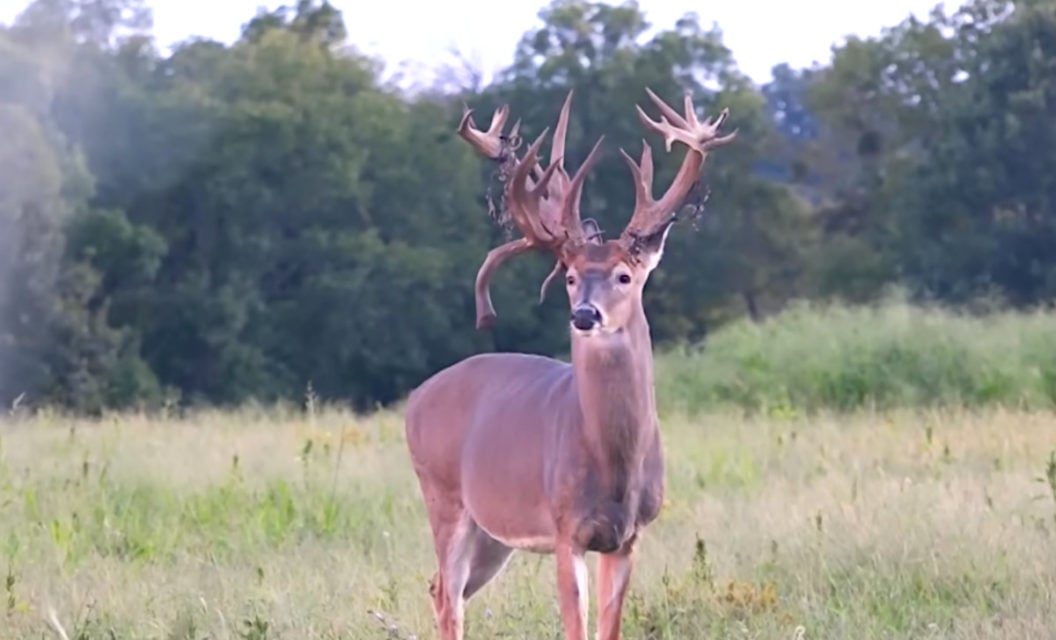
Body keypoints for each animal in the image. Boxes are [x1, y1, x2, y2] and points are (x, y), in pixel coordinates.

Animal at [403, 89, 734, 640]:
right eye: (571, 277)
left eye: (624, 275)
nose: (584, 315)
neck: (612, 462)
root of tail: (415, 398)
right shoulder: (565, 530)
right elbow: (575, 628)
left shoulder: (626, 538)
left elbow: (609, 628)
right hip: (443, 495)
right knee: (448, 596)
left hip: (493, 535)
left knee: (439, 589)